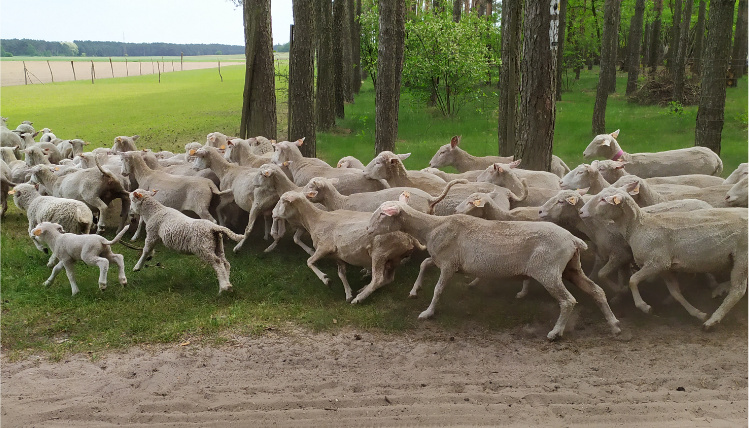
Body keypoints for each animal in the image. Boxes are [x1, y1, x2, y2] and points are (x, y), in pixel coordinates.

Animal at [366, 199, 620, 340]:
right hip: (571, 268)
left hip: (548, 271)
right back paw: (614, 324)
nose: (368, 230)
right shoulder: (447, 261)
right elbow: (424, 264)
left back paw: (555, 333)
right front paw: (414, 290)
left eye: (382, 215)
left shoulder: (448, 264)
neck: (432, 228)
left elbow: (437, 289)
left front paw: (427, 313)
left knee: (568, 301)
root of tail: (573, 240)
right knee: (597, 291)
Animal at [580, 186, 744, 330]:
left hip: (743, 256)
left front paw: (644, 306)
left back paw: (712, 321)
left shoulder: (657, 262)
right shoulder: (665, 268)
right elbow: (675, 293)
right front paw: (697, 313)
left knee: (738, 291)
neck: (638, 226)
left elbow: (632, 280)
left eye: (603, 199)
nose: (581, 212)